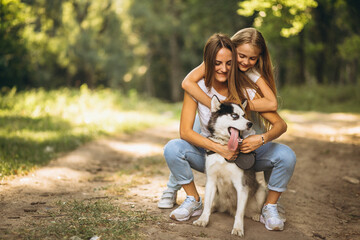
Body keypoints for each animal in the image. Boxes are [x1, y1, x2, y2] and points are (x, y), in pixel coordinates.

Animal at [193, 95, 266, 236]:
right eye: (234, 116)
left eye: (244, 115)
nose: (250, 123)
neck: (225, 149)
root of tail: (228, 208)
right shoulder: (211, 181)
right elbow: (207, 206)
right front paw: (203, 220)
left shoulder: (242, 185)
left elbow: (239, 213)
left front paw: (238, 228)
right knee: (212, 205)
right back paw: (213, 209)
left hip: (261, 191)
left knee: (252, 209)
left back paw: (256, 214)